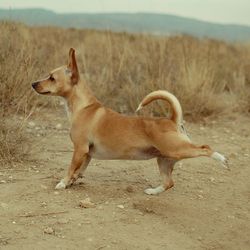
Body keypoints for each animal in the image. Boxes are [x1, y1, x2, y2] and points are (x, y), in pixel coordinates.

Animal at [31, 47, 229, 194]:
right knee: (169, 182)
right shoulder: (87, 154)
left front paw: (63, 183)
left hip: (178, 149)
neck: (83, 107)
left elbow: (71, 168)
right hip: (164, 160)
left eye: (51, 78)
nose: (33, 84)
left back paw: (223, 160)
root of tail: (172, 120)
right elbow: (80, 170)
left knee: (205, 148)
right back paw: (152, 191)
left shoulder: (79, 149)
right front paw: (72, 181)